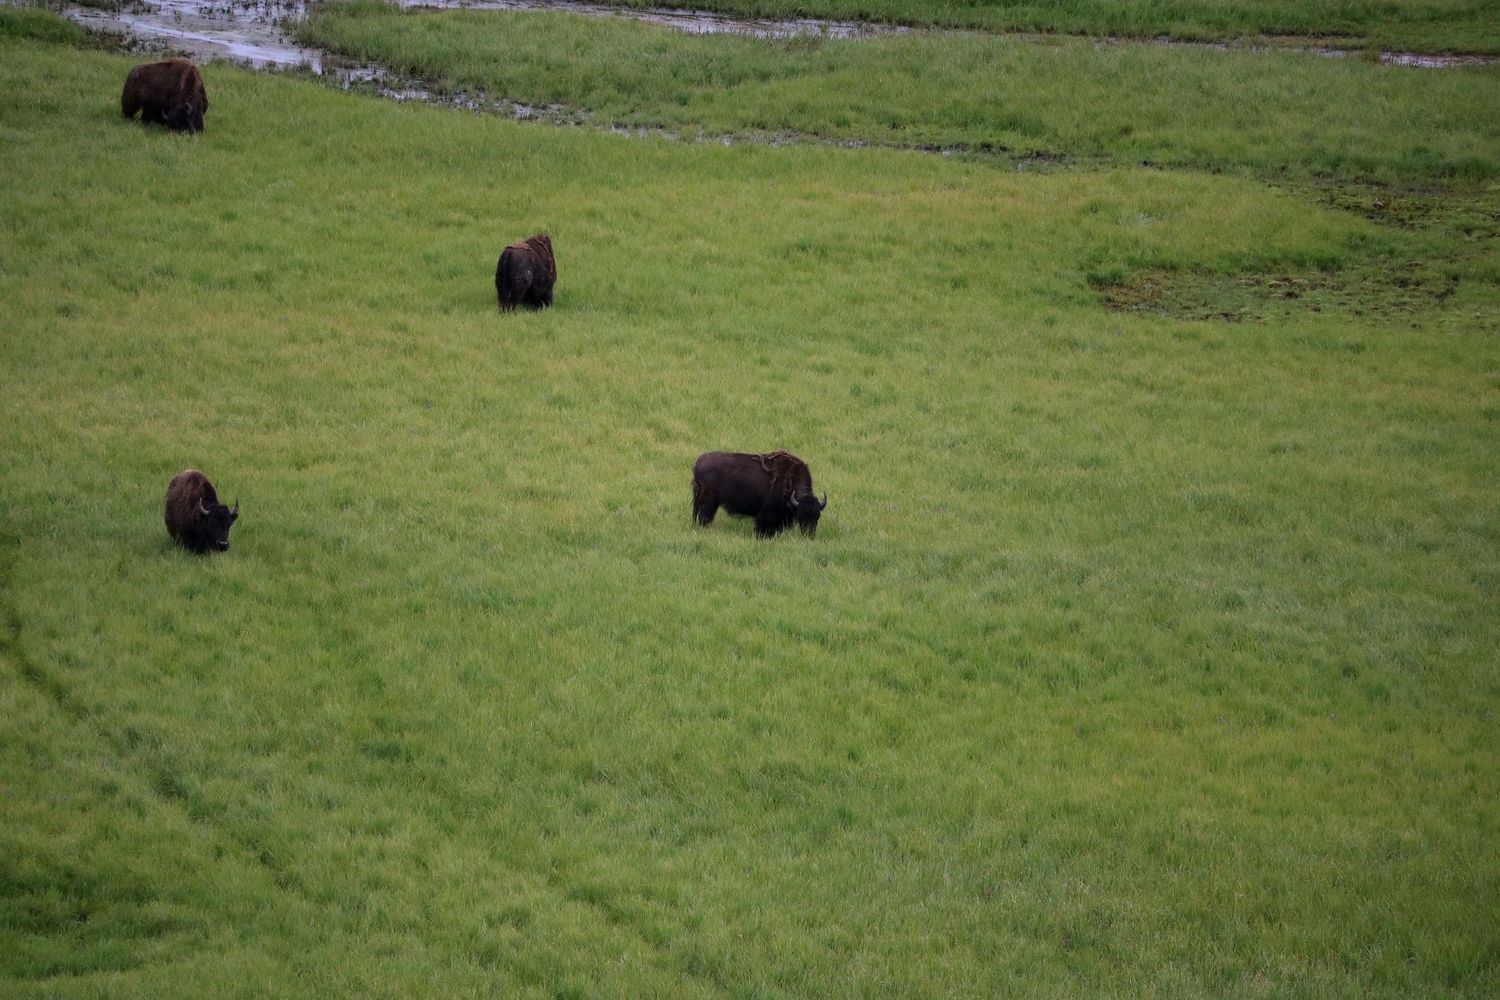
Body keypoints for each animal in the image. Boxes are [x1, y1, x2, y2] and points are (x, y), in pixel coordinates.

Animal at [692, 450, 827, 538]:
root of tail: (697, 463)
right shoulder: (767, 514)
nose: (809, 535)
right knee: (705, 517)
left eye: (818, 516)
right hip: (708, 502)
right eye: (800, 515)